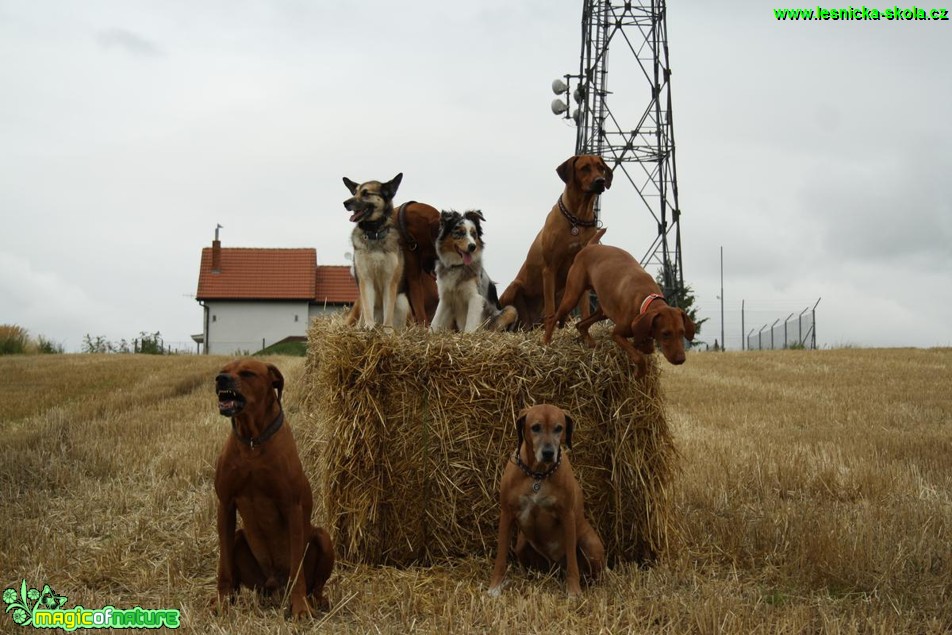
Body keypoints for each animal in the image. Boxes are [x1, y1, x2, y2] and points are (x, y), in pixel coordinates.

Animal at [214, 360, 332, 620]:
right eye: (223, 369)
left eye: (247, 373)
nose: (220, 379)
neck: (253, 441)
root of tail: (275, 584)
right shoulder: (225, 504)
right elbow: (224, 565)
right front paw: (222, 602)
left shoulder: (292, 507)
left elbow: (297, 570)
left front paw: (300, 608)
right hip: (240, 540)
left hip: (323, 537)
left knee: (315, 585)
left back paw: (317, 601)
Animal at [490, 404, 604, 600]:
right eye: (535, 427)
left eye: (559, 428)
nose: (549, 453)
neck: (538, 475)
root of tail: (555, 567)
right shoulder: (507, 513)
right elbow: (501, 556)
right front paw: (495, 587)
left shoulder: (567, 516)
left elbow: (572, 560)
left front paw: (574, 592)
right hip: (521, 545)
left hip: (590, 544)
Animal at [494, 156, 612, 330]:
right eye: (585, 168)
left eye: (601, 167)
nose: (600, 181)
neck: (577, 218)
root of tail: (530, 323)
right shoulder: (549, 268)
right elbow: (550, 308)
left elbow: (584, 307)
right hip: (514, 287)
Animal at [544, 238, 700, 378]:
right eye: (665, 333)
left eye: (682, 332)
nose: (681, 359)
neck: (647, 299)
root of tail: (590, 246)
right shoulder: (617, 334)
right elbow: (639, 357)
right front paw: (639, 373)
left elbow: (646, 348)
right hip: (573, 295)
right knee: (553, 318)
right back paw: (546, 343)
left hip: (603, 311)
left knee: (580, 325)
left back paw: (593, 345)